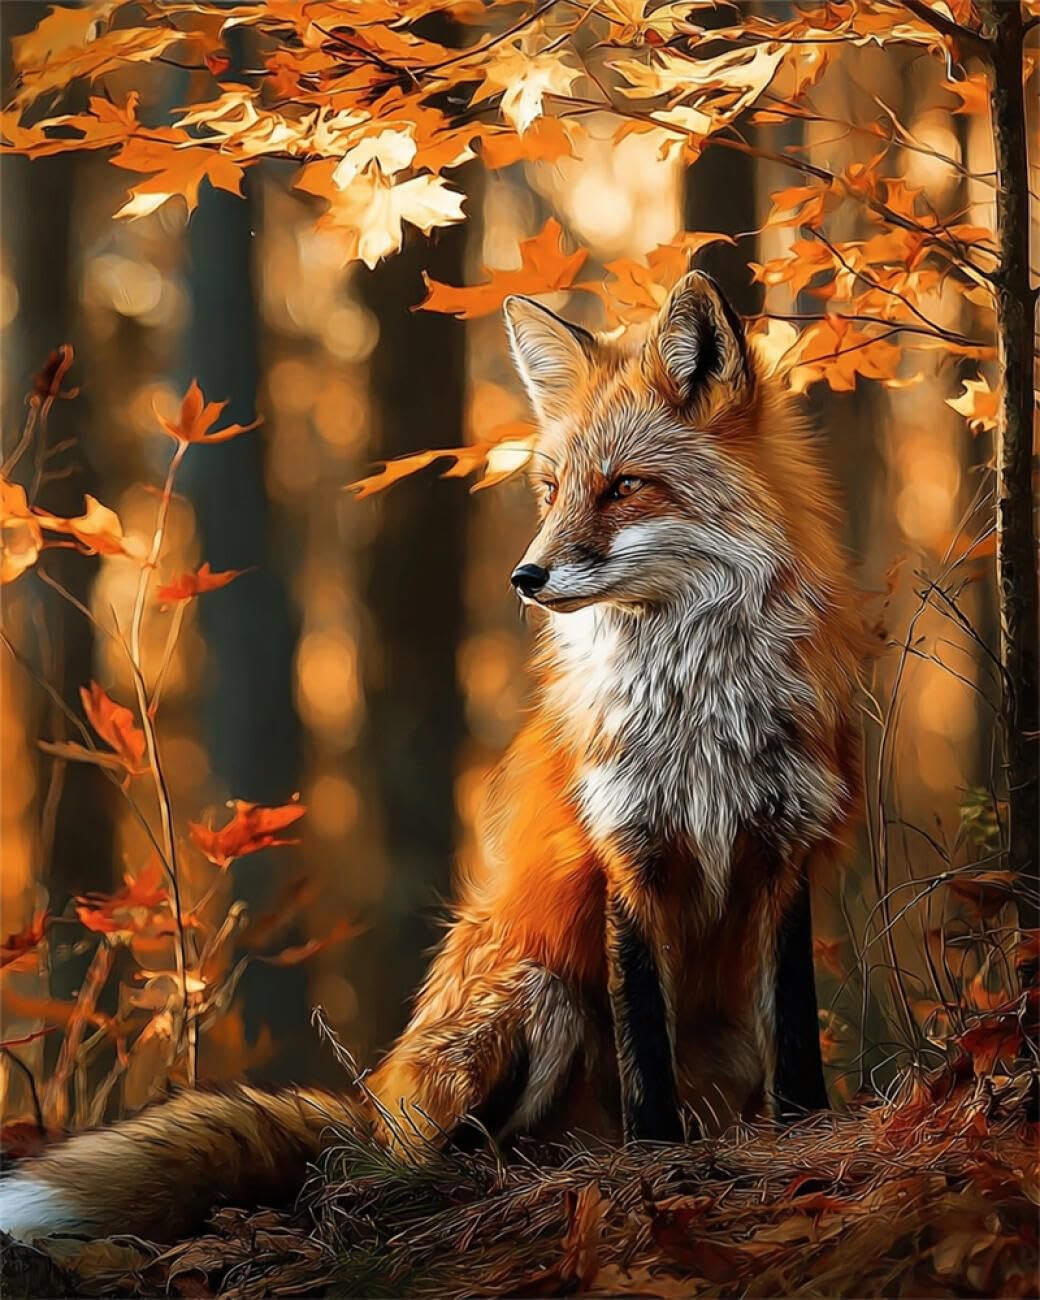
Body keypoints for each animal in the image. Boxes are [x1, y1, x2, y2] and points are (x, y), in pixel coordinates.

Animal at [0, 271, 867, 1245]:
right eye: (552, 490)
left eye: (624, 488)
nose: (525, 577)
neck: (695, 704)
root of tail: (376, 1104)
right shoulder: (623, 853)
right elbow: (645, 1042)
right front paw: (655, 1160)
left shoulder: (784, 845)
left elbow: (793, 1030)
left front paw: (803, 1135)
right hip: (533, 993)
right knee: (405, 1158)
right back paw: (478, 1180)